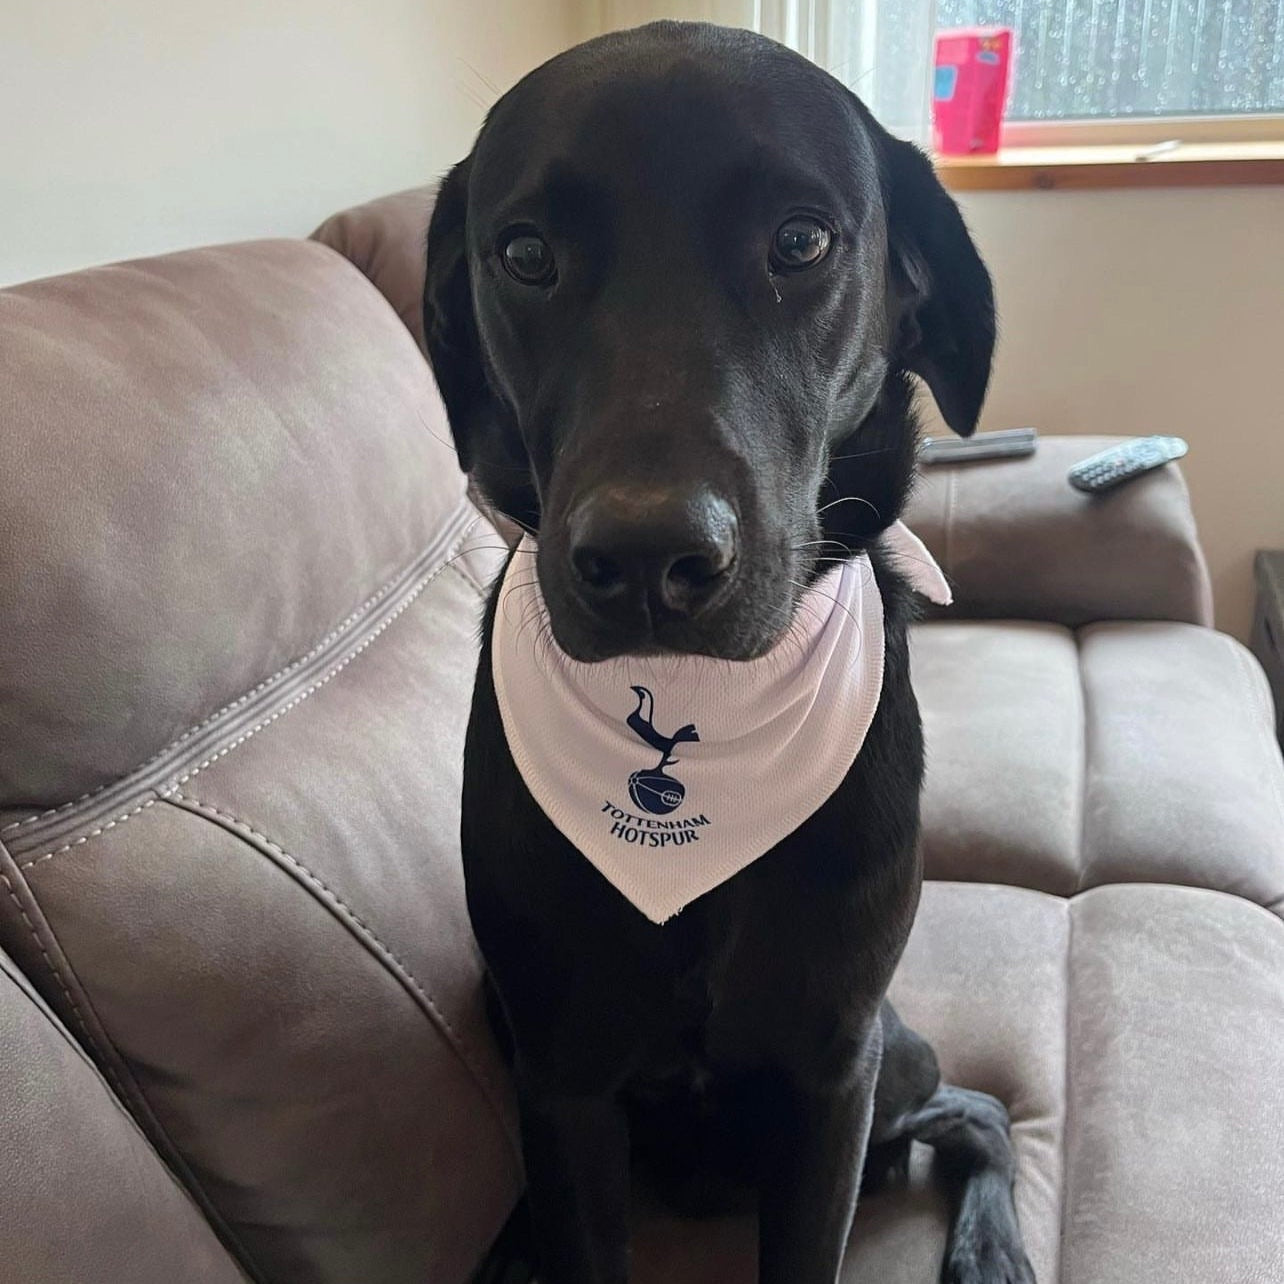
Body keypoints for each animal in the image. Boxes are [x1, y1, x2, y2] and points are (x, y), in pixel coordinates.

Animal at [426, 20, 1037, 1284]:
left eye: (800, 241)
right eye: (524, 252)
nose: (648, 558)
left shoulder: (833, 1073)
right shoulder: (563, 1086)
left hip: (893, 1059)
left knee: (978, 1109)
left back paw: (990, 1247)